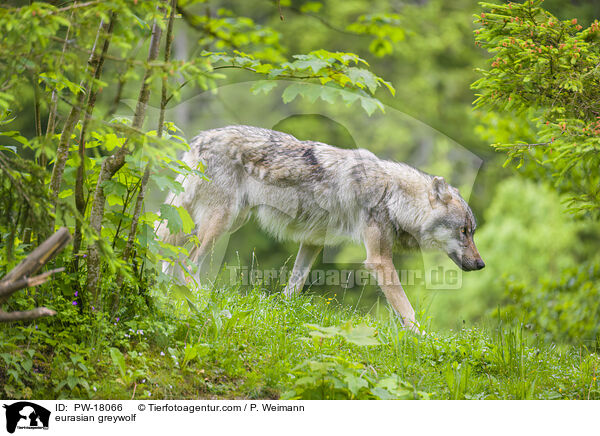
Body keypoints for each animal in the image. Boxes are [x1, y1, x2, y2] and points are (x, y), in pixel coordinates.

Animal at [157, 124, 486, 332]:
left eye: (471, 231)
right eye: (463, 231)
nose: (481, 264)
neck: (393, 195)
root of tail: (199, 139)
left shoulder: (313, 242)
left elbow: (294, 286)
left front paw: (282, 315)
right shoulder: (379, 260)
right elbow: (408, 310)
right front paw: (422, 339)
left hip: (212, 220)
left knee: (170, 254)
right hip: (221, 222)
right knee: (188, 262)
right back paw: (200, 301)